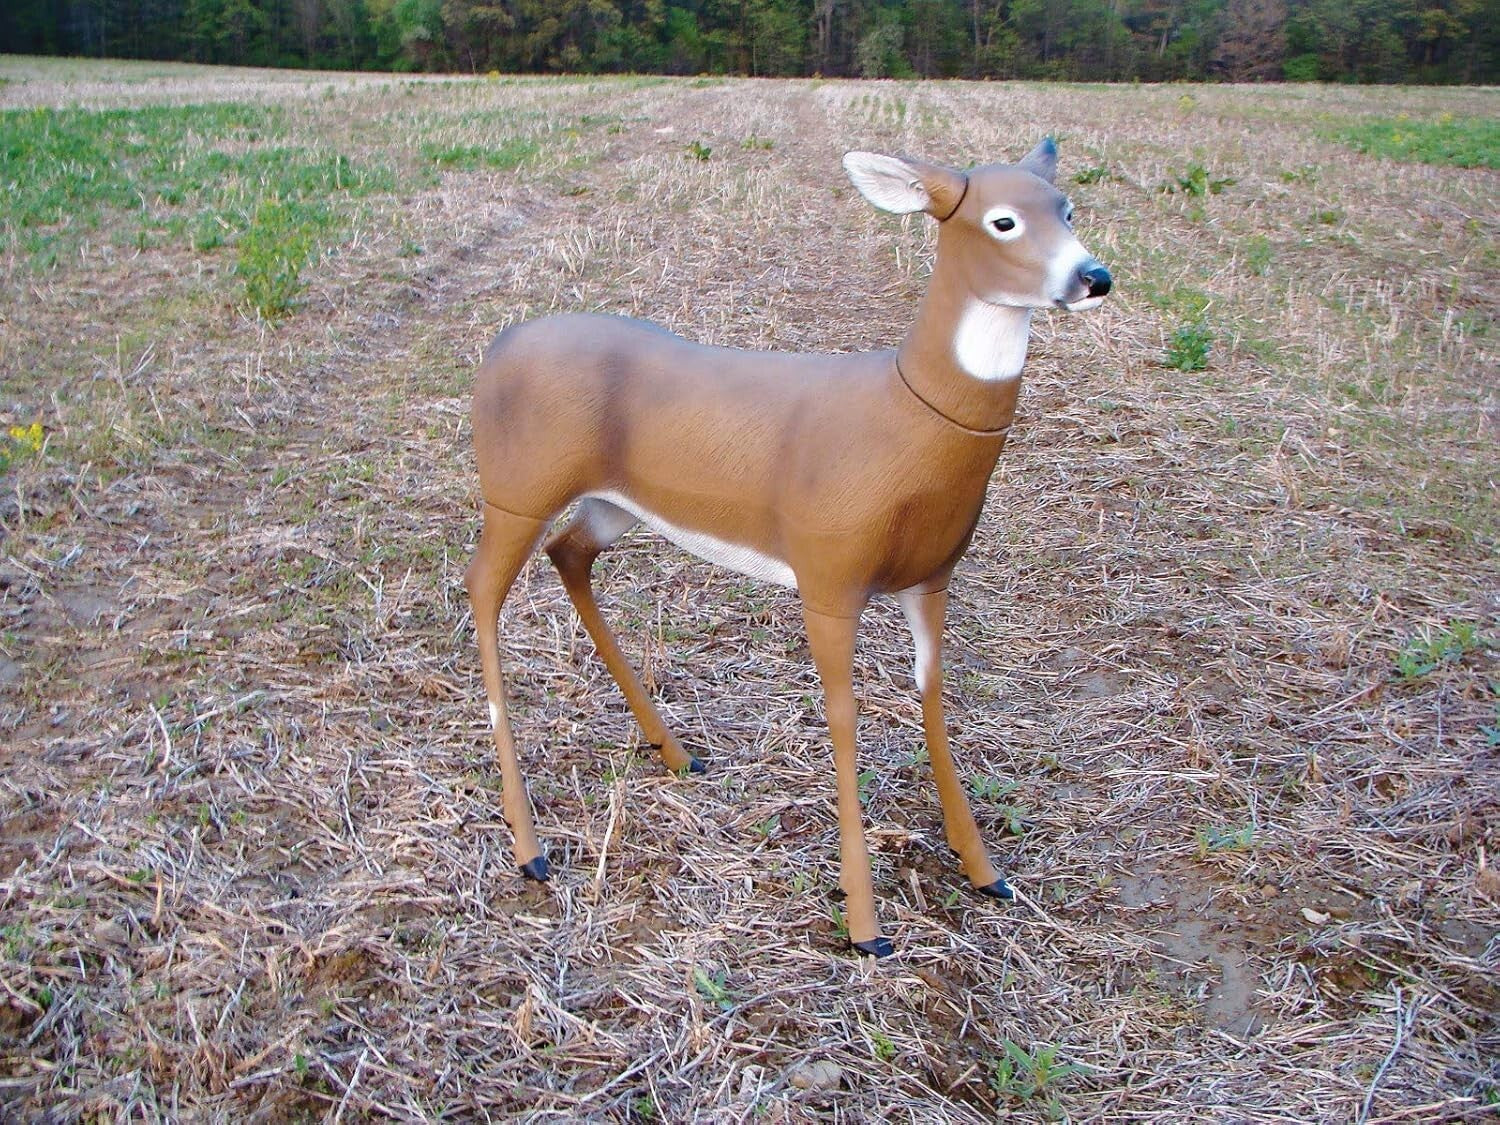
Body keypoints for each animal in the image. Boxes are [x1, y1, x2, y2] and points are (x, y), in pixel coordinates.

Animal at [465, 138, 1111, 957]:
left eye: (1067, 208)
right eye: (1003, 220)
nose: (1094, 277)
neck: (906, 422)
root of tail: (497, 349)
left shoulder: (932, 577)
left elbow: (934, 699)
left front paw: (984, 870)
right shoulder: (828, 574)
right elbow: (843, 713)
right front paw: (867, 927)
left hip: (614, 504)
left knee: (569, 553)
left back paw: (675, 751)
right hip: (515, 487)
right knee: (483, 588)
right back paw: (530, 846)